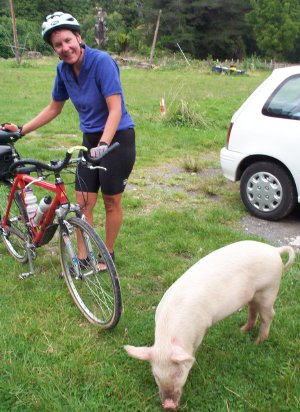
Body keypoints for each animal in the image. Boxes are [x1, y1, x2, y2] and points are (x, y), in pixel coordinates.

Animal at [124, 241, 296, 408]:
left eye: (178, 373)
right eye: (156, 376)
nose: (168, 405)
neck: (169, 332)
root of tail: (274, 250)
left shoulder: (201, 327)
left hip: (269, 289)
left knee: (269, 315)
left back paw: (258, 342)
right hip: (254, 295)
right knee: (253, 310)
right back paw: (241, 330)